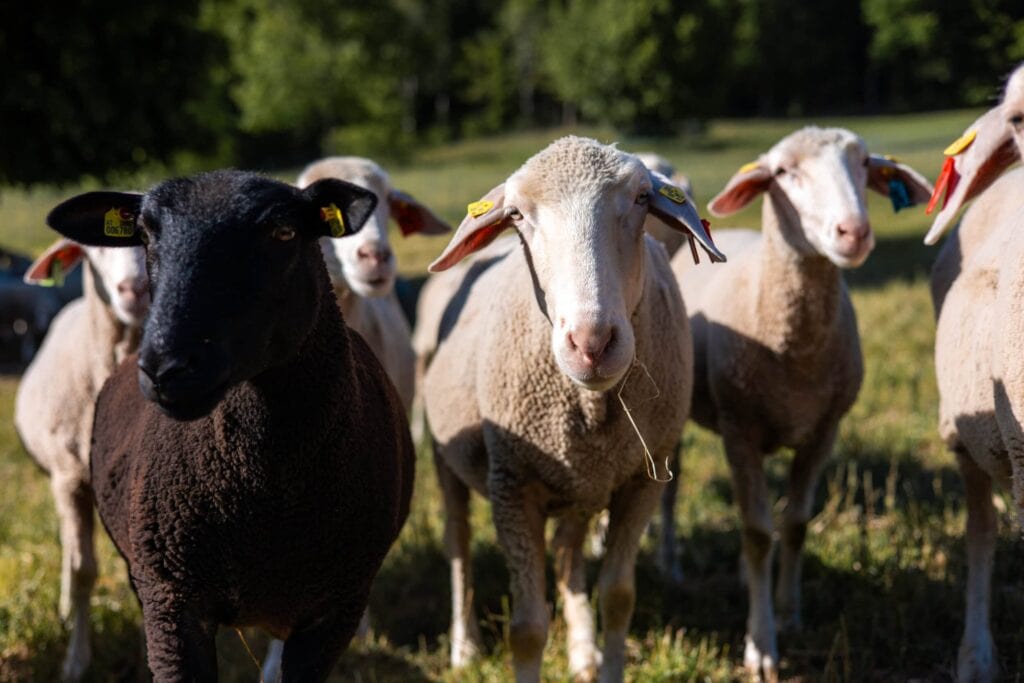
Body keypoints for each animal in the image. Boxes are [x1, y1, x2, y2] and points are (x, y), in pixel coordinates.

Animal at [13, 238, 148, 682]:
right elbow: (84, 569)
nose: (136, 289)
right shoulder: (69, 478)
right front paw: (75, 660)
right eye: (95, 248)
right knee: (71, 550)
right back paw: (65, 607)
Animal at [43, 170, 415, 682]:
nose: (168, 367)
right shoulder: (171, 600)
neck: (266, 489)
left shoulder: (333, 611)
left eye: (284, 232)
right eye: (145, 236)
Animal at [422, 136, 722, 682]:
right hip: (445, 454)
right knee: (458, 546)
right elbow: (527, 628)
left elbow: (619, 598)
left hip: (581, 483)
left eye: (642, 198)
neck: (591, 405)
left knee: (567, 553)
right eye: (517, 214)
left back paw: (582, 650)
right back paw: (465, 646)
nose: (592, 342)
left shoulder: (641, 481)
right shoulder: (512, 485)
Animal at [667, 127, 932, 681]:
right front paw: (761, 645)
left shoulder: (823, 430)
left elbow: (793, 524)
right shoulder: (739, 430)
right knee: (670, 490)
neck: (798, 352)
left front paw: (788, 611)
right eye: (784, 173)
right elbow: (755, 532)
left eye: (864, 163)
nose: (854, 232)